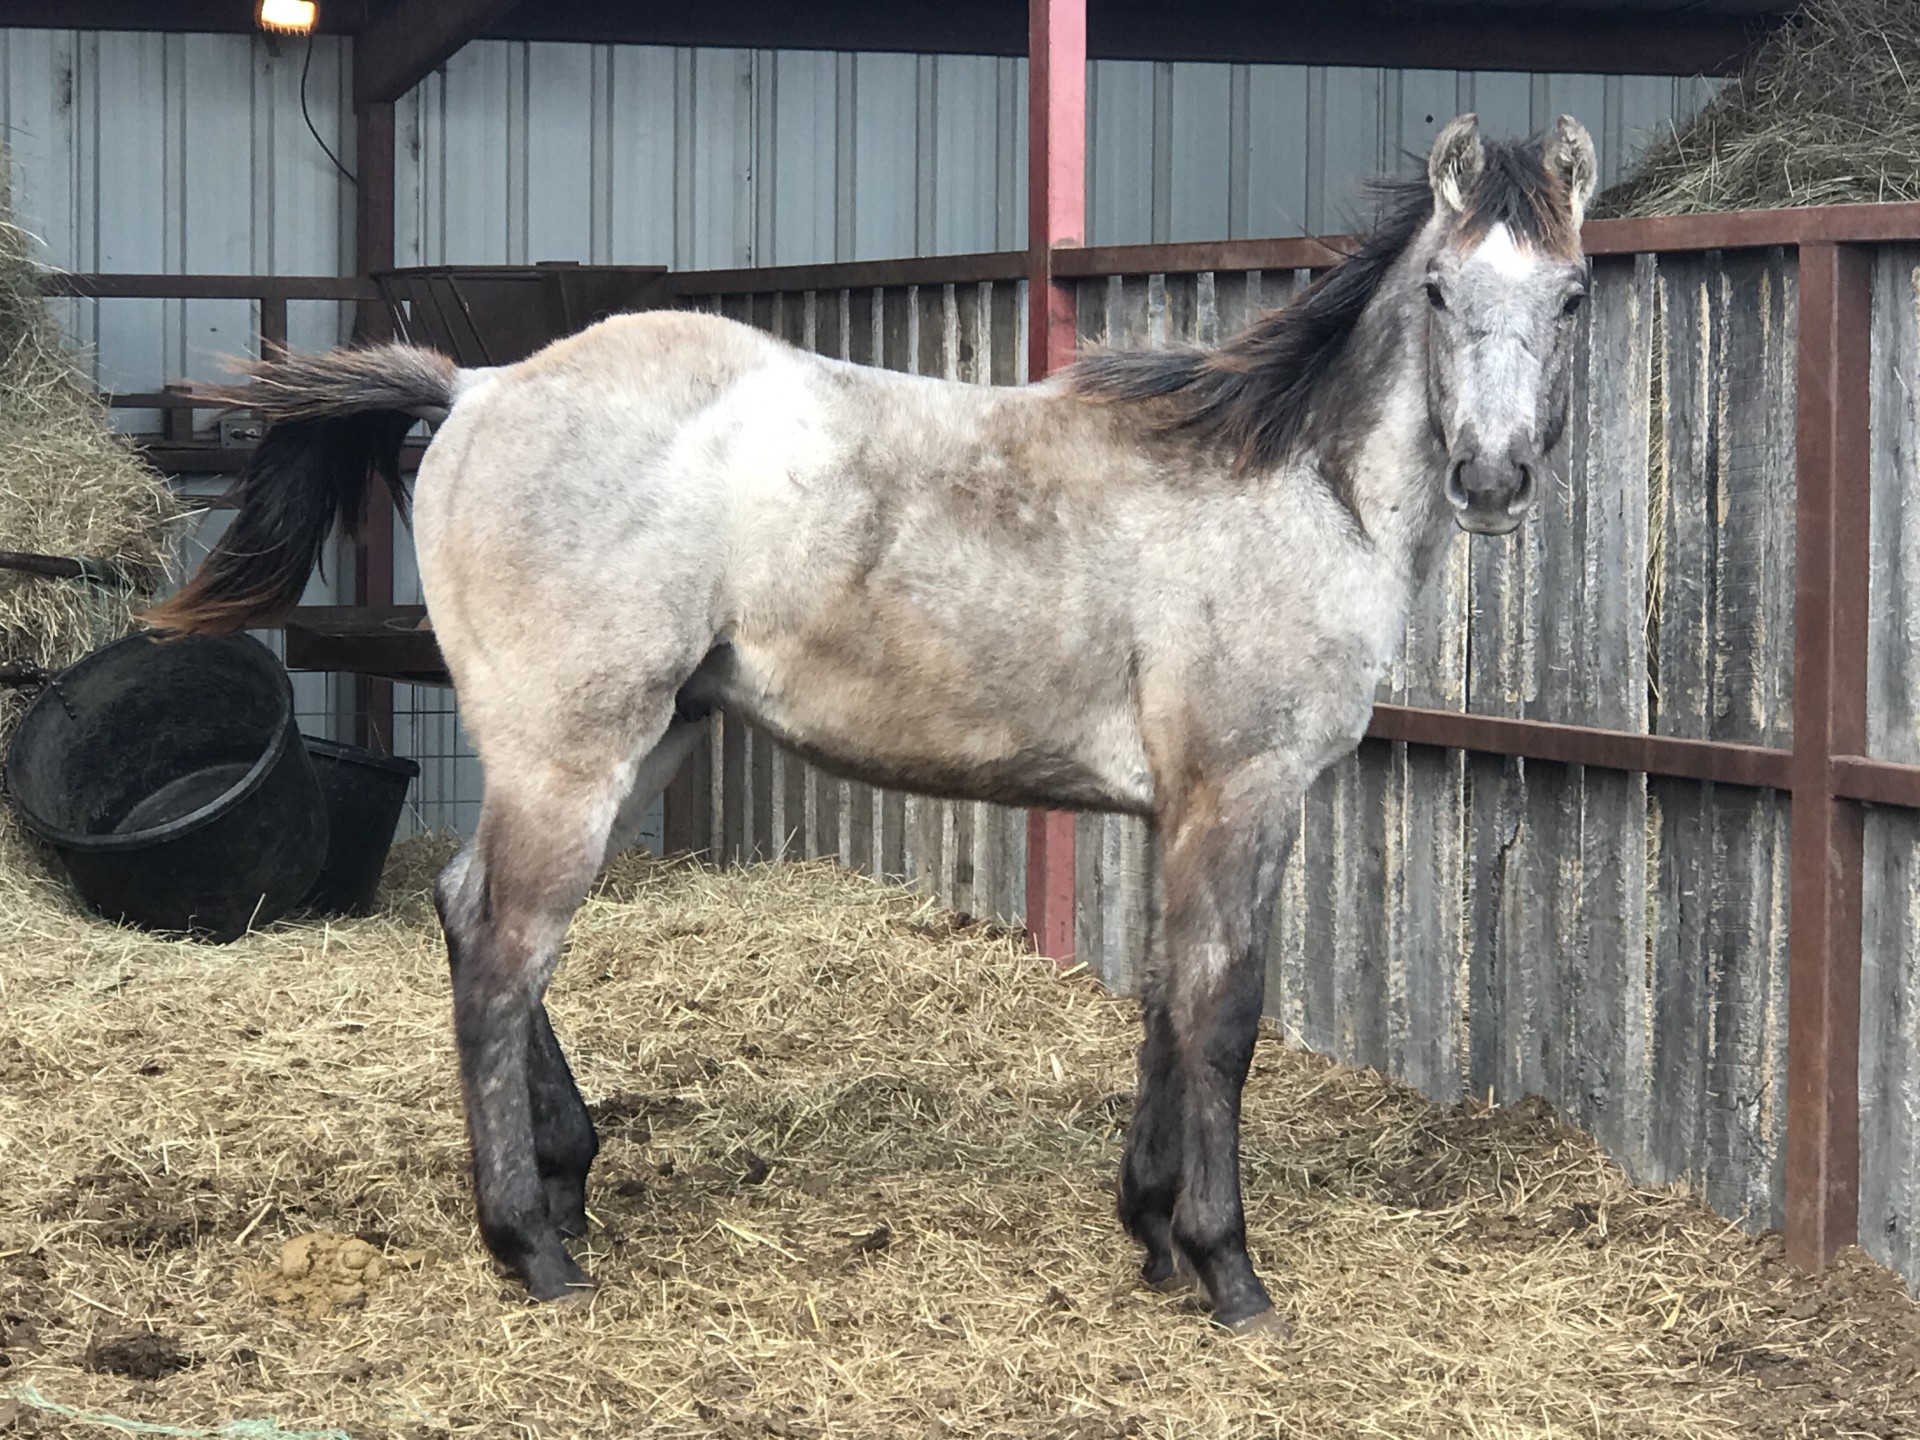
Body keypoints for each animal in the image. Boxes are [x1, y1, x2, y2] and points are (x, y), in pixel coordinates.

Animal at [145, 115, 1589, 1344]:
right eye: (1442, 293)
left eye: (1571, 295)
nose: (1493, 477)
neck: (1289, 487)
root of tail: (478, 386)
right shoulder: (1243, 793)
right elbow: (1223, 1015)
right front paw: (1225, 1267)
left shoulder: (1185, 812)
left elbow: (1168, 1002)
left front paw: (1150, 1228)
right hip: (570, 759)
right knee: (504, 948)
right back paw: (532, 1246)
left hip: (638, 745)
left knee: (464, 913)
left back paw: (566, 1178)